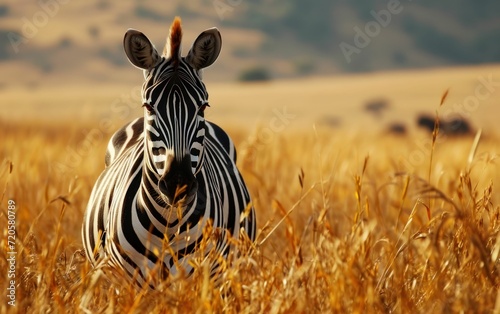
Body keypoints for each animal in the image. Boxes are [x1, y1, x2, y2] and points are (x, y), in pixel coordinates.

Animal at [81, 16, 256, 288]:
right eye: (148, 106)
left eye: (203, 107)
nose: (177, 184)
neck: (168, 223)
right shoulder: (129, 281)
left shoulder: (201, 275)